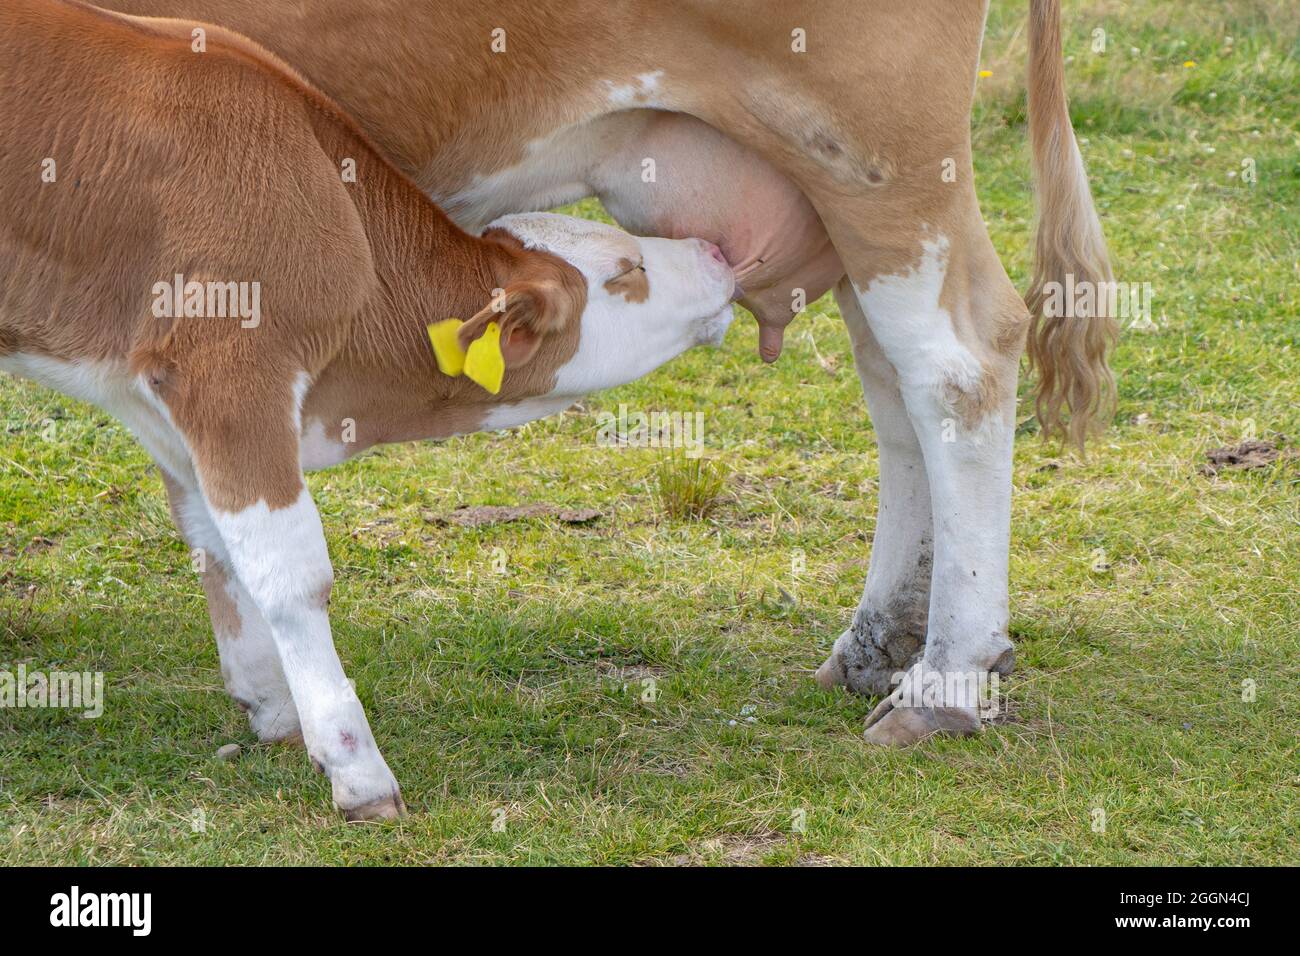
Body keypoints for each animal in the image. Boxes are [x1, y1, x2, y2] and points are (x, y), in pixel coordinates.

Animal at [0, 0, 743, 822]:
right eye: (627, 268)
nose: (715, 252)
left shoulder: (161, 401)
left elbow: (219, 547)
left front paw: (273, 706)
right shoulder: (229, 370)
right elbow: (293, 572)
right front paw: (354, 766)